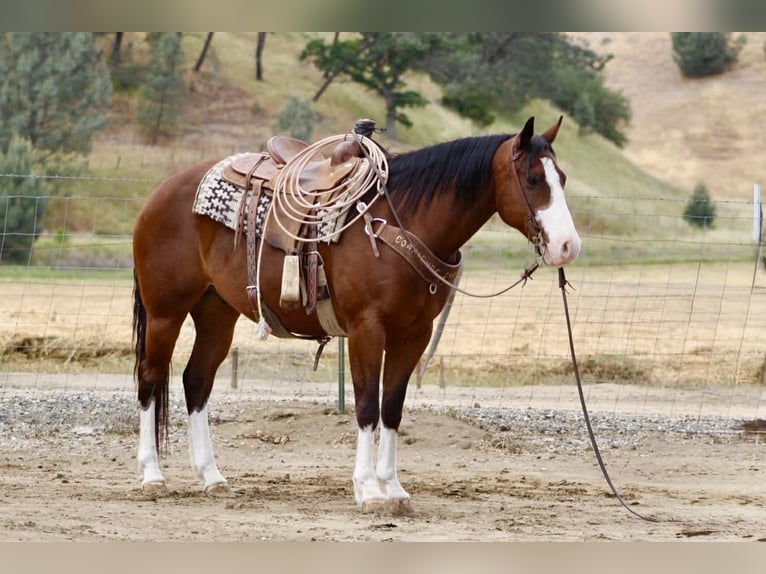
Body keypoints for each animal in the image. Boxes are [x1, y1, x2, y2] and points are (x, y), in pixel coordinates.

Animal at [131, 116, 581, 513]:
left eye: (561, 177)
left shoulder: (414, 335)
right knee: (150, 378)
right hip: (165, 313)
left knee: (196, 382)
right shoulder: (367, 330)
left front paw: (394, 489)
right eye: (532, 179)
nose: (568, 246)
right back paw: (152, 475)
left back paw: (212, 477)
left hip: (216, 314)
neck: (403, 221)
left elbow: (392, 407)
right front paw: (368, 491)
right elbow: (366, 406)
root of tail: (161, 192)